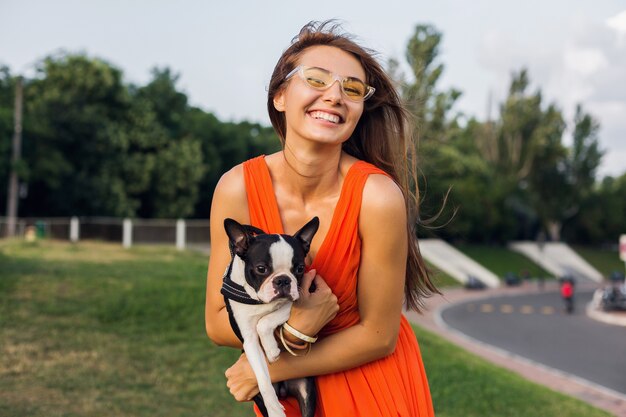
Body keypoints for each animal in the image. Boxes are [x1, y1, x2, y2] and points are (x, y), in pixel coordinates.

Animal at [221, 218, 316, 416]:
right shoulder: (249, 340)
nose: (283, 280)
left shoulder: (301, 295)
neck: (259, 302)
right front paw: (275, 410)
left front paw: (271, 349)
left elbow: (265, 321)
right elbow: (263, 379)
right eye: (261, 269)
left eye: (300, 268)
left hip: (306, 389)